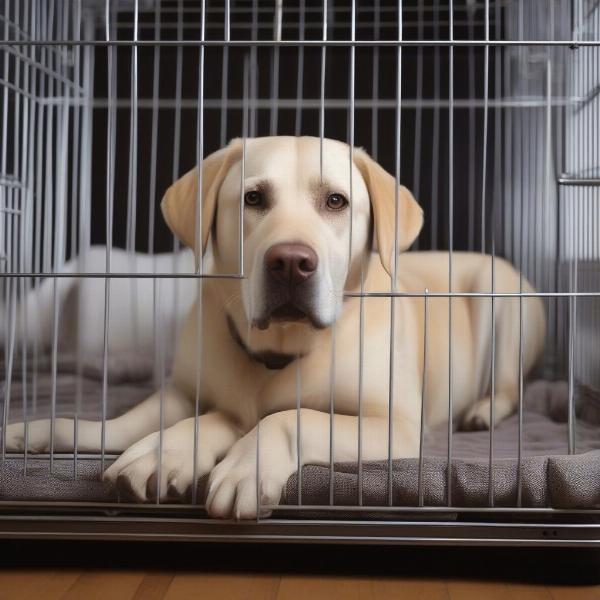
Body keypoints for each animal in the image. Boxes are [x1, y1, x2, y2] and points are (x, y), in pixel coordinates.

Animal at [5, 137, 548, 520]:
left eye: (336, 201)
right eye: (253, 198)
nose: (291, 262)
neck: (277, 351)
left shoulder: (393, 426)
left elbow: (290, 417)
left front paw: (244, 464)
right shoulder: (181, 392)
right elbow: (122, 425)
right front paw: (61, 434)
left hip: (504, 298)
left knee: (509, 387)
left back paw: (482, 411)